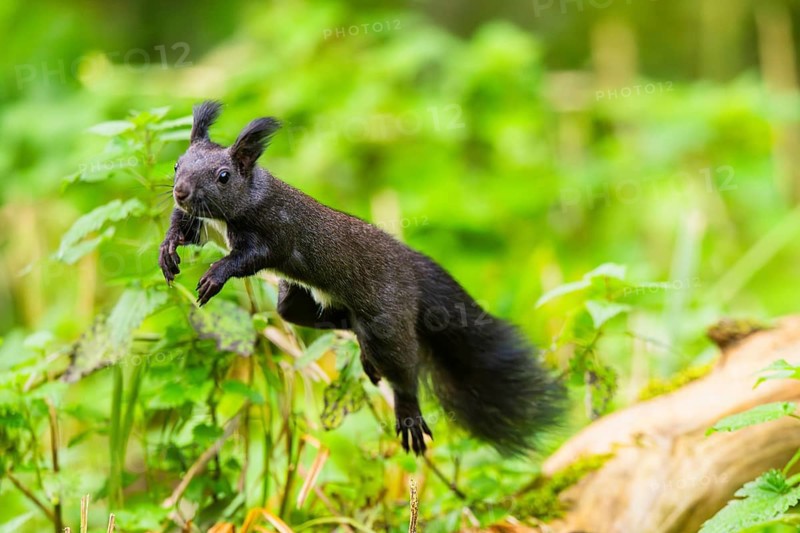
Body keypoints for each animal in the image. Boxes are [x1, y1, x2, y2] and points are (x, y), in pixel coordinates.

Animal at [159, 101, 565, 455]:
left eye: (223, 176)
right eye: (177, 164)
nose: (180, 192)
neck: (238, 206)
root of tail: (412, 268)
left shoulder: (277, 233)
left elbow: (248, 257)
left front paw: (215, 275)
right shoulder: (203, 223)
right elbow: (186, 230)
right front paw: (167, 250)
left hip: (387, 319)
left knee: (403, 369)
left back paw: (408, 413)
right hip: (300, 301)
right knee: (330, 319)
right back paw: (363, 353)